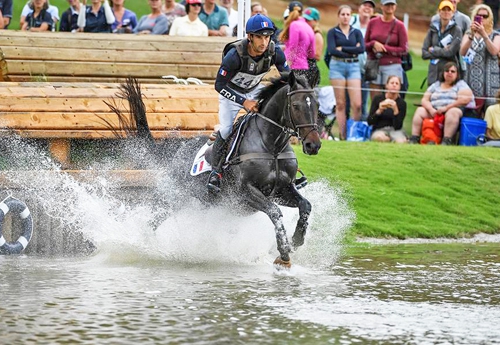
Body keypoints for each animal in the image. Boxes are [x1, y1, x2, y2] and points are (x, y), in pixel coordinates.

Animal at [109, 72, 320, 266]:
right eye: (296, 106)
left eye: (317, 105)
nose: (313, 145)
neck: (272, 146)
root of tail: (179, 150)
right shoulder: (245, 192)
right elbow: (274, 212)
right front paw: (283, 252)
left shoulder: (283, 190)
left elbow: (305, 205)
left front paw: (296, 240)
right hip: (173, 198)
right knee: (152, 219)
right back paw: (141, 245)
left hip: (201, 203)